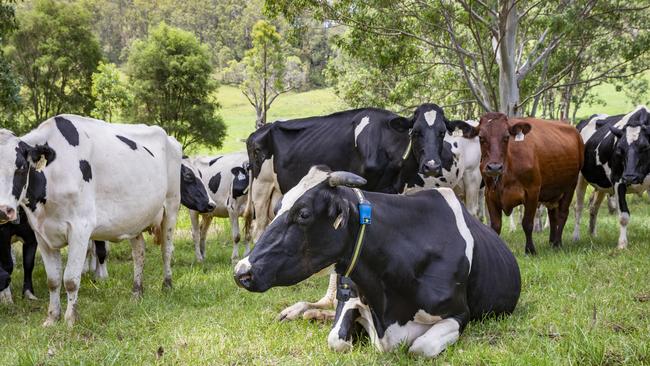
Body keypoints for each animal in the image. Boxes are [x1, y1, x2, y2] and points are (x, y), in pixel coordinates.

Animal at [0, 115, 208, 326]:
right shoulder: (41, 234)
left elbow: (70, 279)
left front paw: (70, 320)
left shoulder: (80, 228)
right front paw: (51, 318)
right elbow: (53, 280)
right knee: (139, 253)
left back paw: (167, 285)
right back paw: (136, 292)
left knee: (166, 250)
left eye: (21, 168)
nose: (3, 210)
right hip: (135, 218)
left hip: (171, 206)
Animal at [235, 167, 520, 358]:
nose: (241, 271)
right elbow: (336, 338)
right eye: (277, 208)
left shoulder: (460, 313)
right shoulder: (351, 293)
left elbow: (420, 347)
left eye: (303, 214)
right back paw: (300, 312)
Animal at [470, 112, 584, 254]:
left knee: (563, 213)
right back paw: (552, 241)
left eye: (506, 137)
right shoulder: (490, 195)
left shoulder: (532, 192)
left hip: (570, 186)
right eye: (481, 137)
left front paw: (530, 250)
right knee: (553, 214)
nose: (494, 167)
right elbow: (495, 226)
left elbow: (527, 223)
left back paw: (557, 243)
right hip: (552, 191)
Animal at [572, 106, 648, 249]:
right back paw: (576, 237)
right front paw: (622, 245)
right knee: (578, 207)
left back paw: (592, 234)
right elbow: (623, 216)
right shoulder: (618, 180)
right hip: (579, 178)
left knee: (593, 207)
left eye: (645, 147)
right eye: (619, 149)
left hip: (602, 185)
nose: (630, 177)